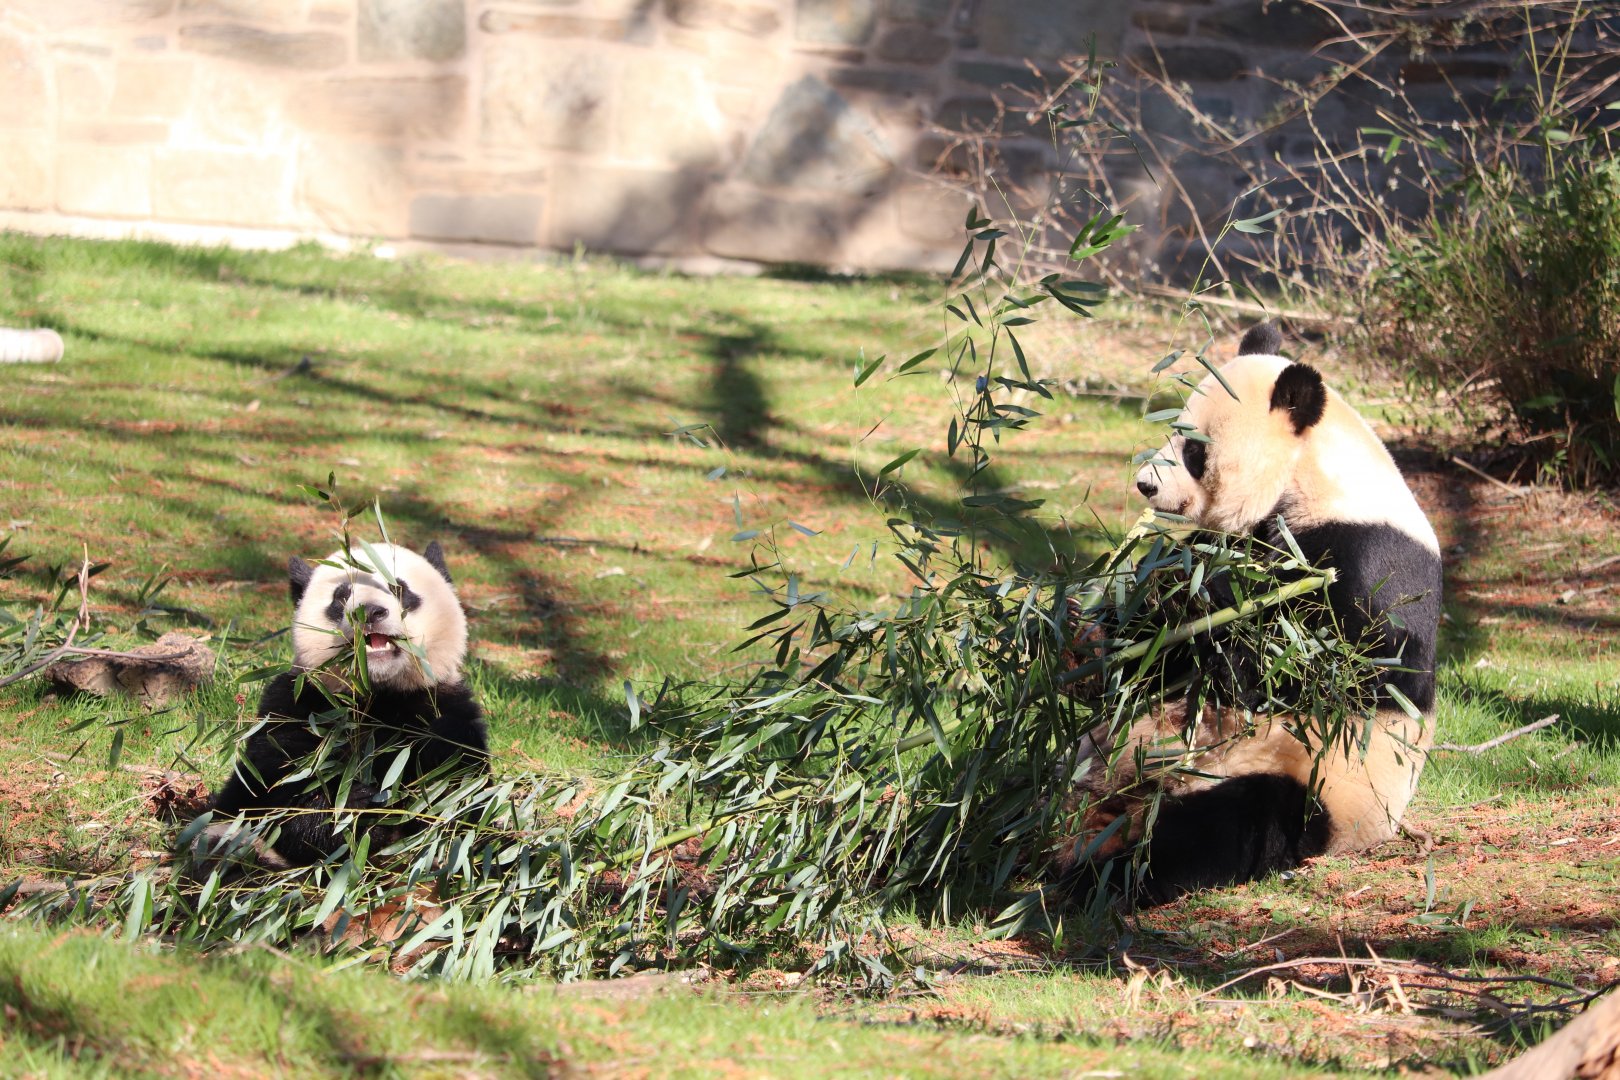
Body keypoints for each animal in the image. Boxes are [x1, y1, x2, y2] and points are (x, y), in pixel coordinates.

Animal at [205, 541, 489, 867]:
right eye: (340, 596)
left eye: (399, 588)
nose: (370, 612)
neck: (374, 696)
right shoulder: (301, 708)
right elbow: (282, 793)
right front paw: (355, 808)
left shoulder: (443, 710)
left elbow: (459, 794)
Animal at [1058, 323, 1442, 904]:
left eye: (1194, 450)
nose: (1146, 485)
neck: (1310, 478)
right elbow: (1155, 653)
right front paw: (1100, 625)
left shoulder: (1368, 561)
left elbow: (1341, 673)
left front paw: (1208, 616)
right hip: (1102, 752)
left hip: (1310, 783)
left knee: (1217, 829)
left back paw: (1093, 873)